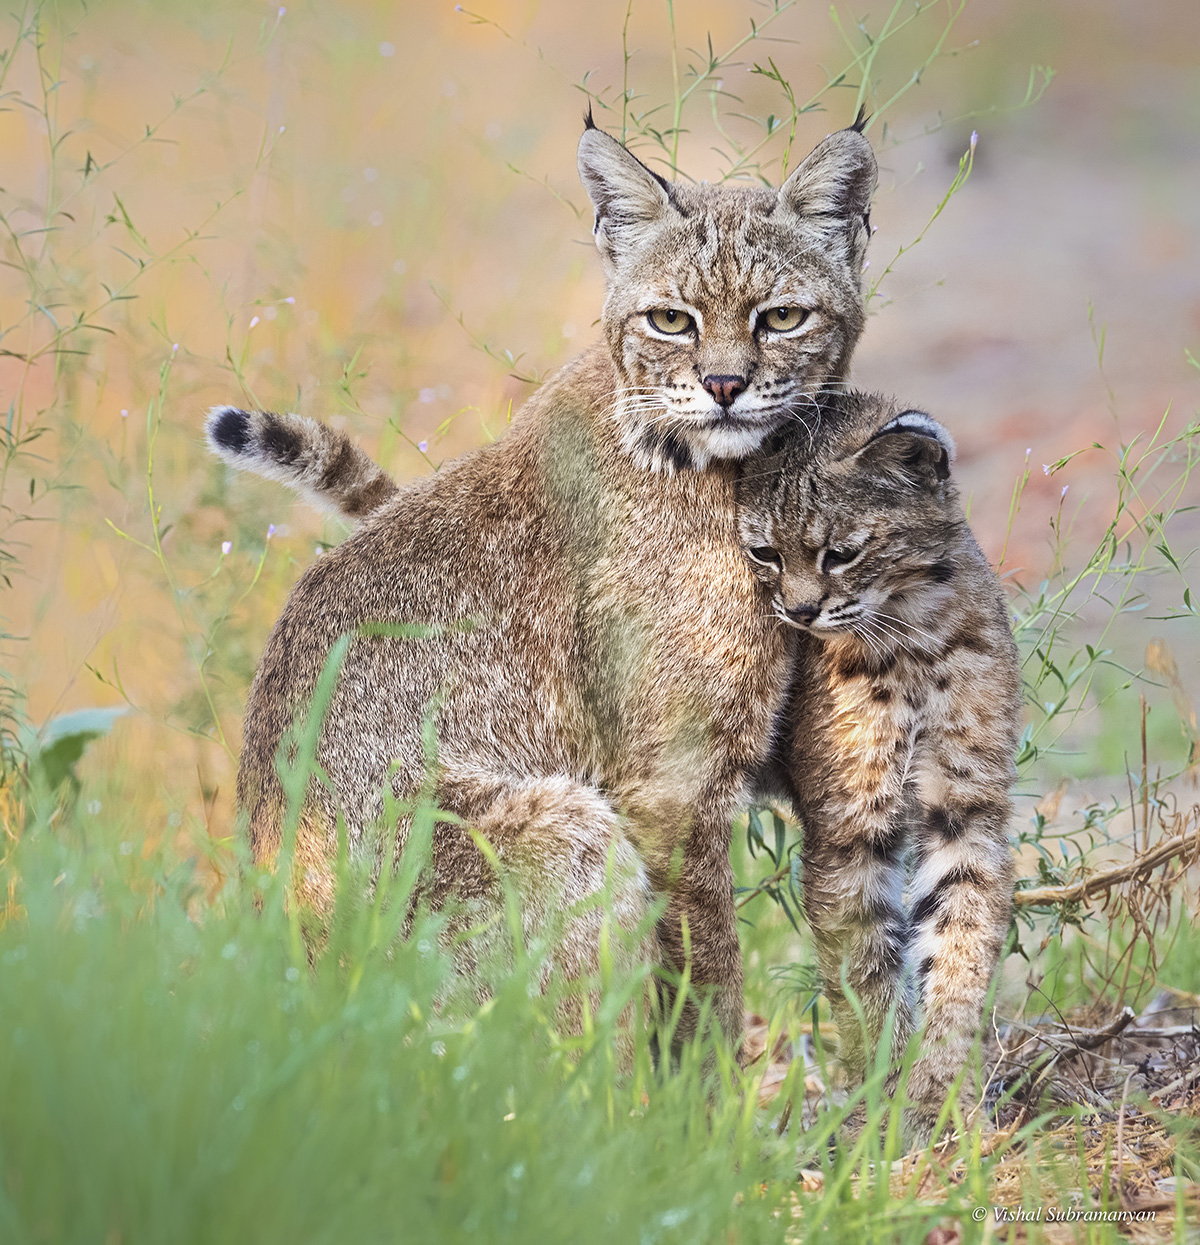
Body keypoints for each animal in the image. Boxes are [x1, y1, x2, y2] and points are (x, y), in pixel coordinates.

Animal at [741, 390, 1020, 1130]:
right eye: (764, 553)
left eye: (840, 554)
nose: (800, 613)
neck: (915, 629)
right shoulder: (847, 825)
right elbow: (866, 970)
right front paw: (886, 1101)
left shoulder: (967, 805)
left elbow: (960, 948)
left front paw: (944, 1096)